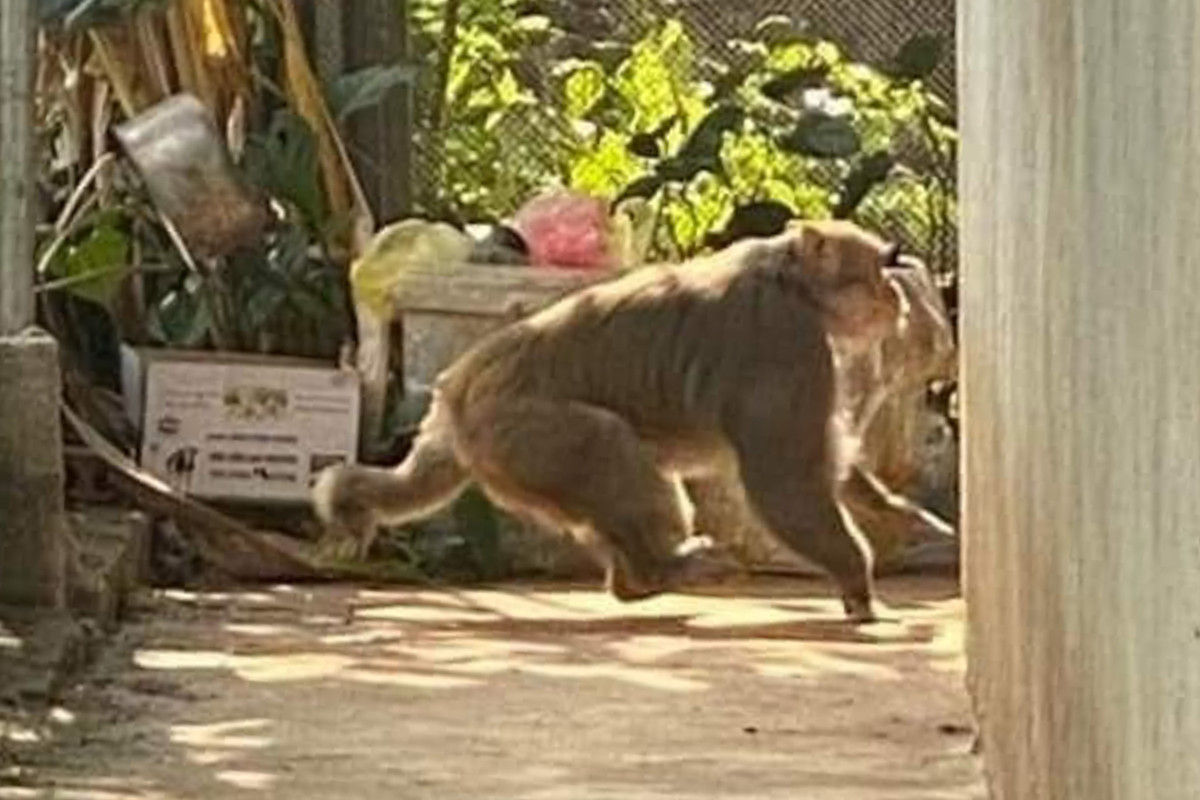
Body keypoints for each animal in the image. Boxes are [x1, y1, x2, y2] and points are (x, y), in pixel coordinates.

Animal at [313, 219, 902, 623]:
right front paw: (856, 577)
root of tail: (457, 397)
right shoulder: (785, 341)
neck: (789, 280)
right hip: (526, 432)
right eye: (877, 270)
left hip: (507, 450)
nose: (896, 295)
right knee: (608, 443)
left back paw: (632, 580)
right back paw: (656, 569)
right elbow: (785, 481)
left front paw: (885, 508)